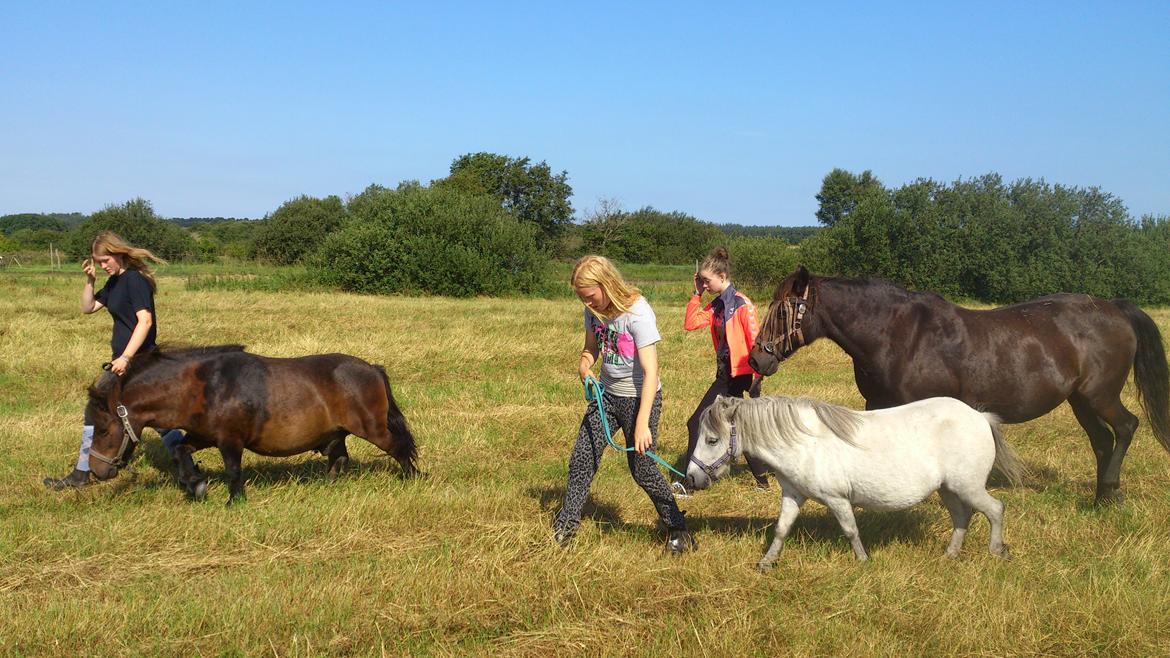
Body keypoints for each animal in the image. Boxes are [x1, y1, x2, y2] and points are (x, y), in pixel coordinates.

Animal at [80, 344, 416, 501]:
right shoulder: (203, 436)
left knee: (398, 447)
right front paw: (195, 484)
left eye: (104, 429)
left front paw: (235, 499)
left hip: (372, 428)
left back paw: (413, 478)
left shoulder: (231, 440)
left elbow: (233, 470)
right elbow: (179, 451)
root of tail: (372, 369)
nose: (96, 470)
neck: (205, 387)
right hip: (338, 433)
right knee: (339, 458)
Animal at [687, 391, 1020, 566]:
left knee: (995, 510)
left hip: (969, 487)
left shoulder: (837, 499)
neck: (805, 443)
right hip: (949, 489)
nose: (691, 479)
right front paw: (766, 563)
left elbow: (850, 530)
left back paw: (996, 551)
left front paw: (862, 561)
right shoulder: (793, 495)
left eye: (712, 440)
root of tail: (979, 417)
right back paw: (950, 555)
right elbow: (781, 530)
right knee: (962, 517)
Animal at [748, 263, 1170, 498]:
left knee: (1126, 428)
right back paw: (1101, 495)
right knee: (1102, 441)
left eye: (783, 310)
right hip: (1080, 400)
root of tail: (1116, 309)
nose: (756, 358)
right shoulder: (877, 405)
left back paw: (1110, 491)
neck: (899, 335)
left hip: (1100, 395)